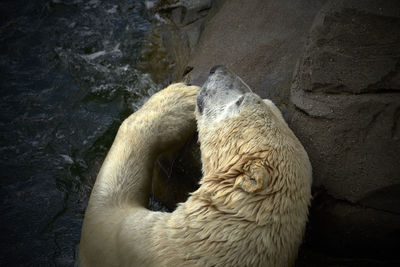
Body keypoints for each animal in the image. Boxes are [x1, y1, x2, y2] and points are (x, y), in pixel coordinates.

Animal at [79, 65, 312, 267]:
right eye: (267, 101)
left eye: (241, 101)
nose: (218, 68)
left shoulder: (139, 245)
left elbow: (105, 215)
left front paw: (178, 98)